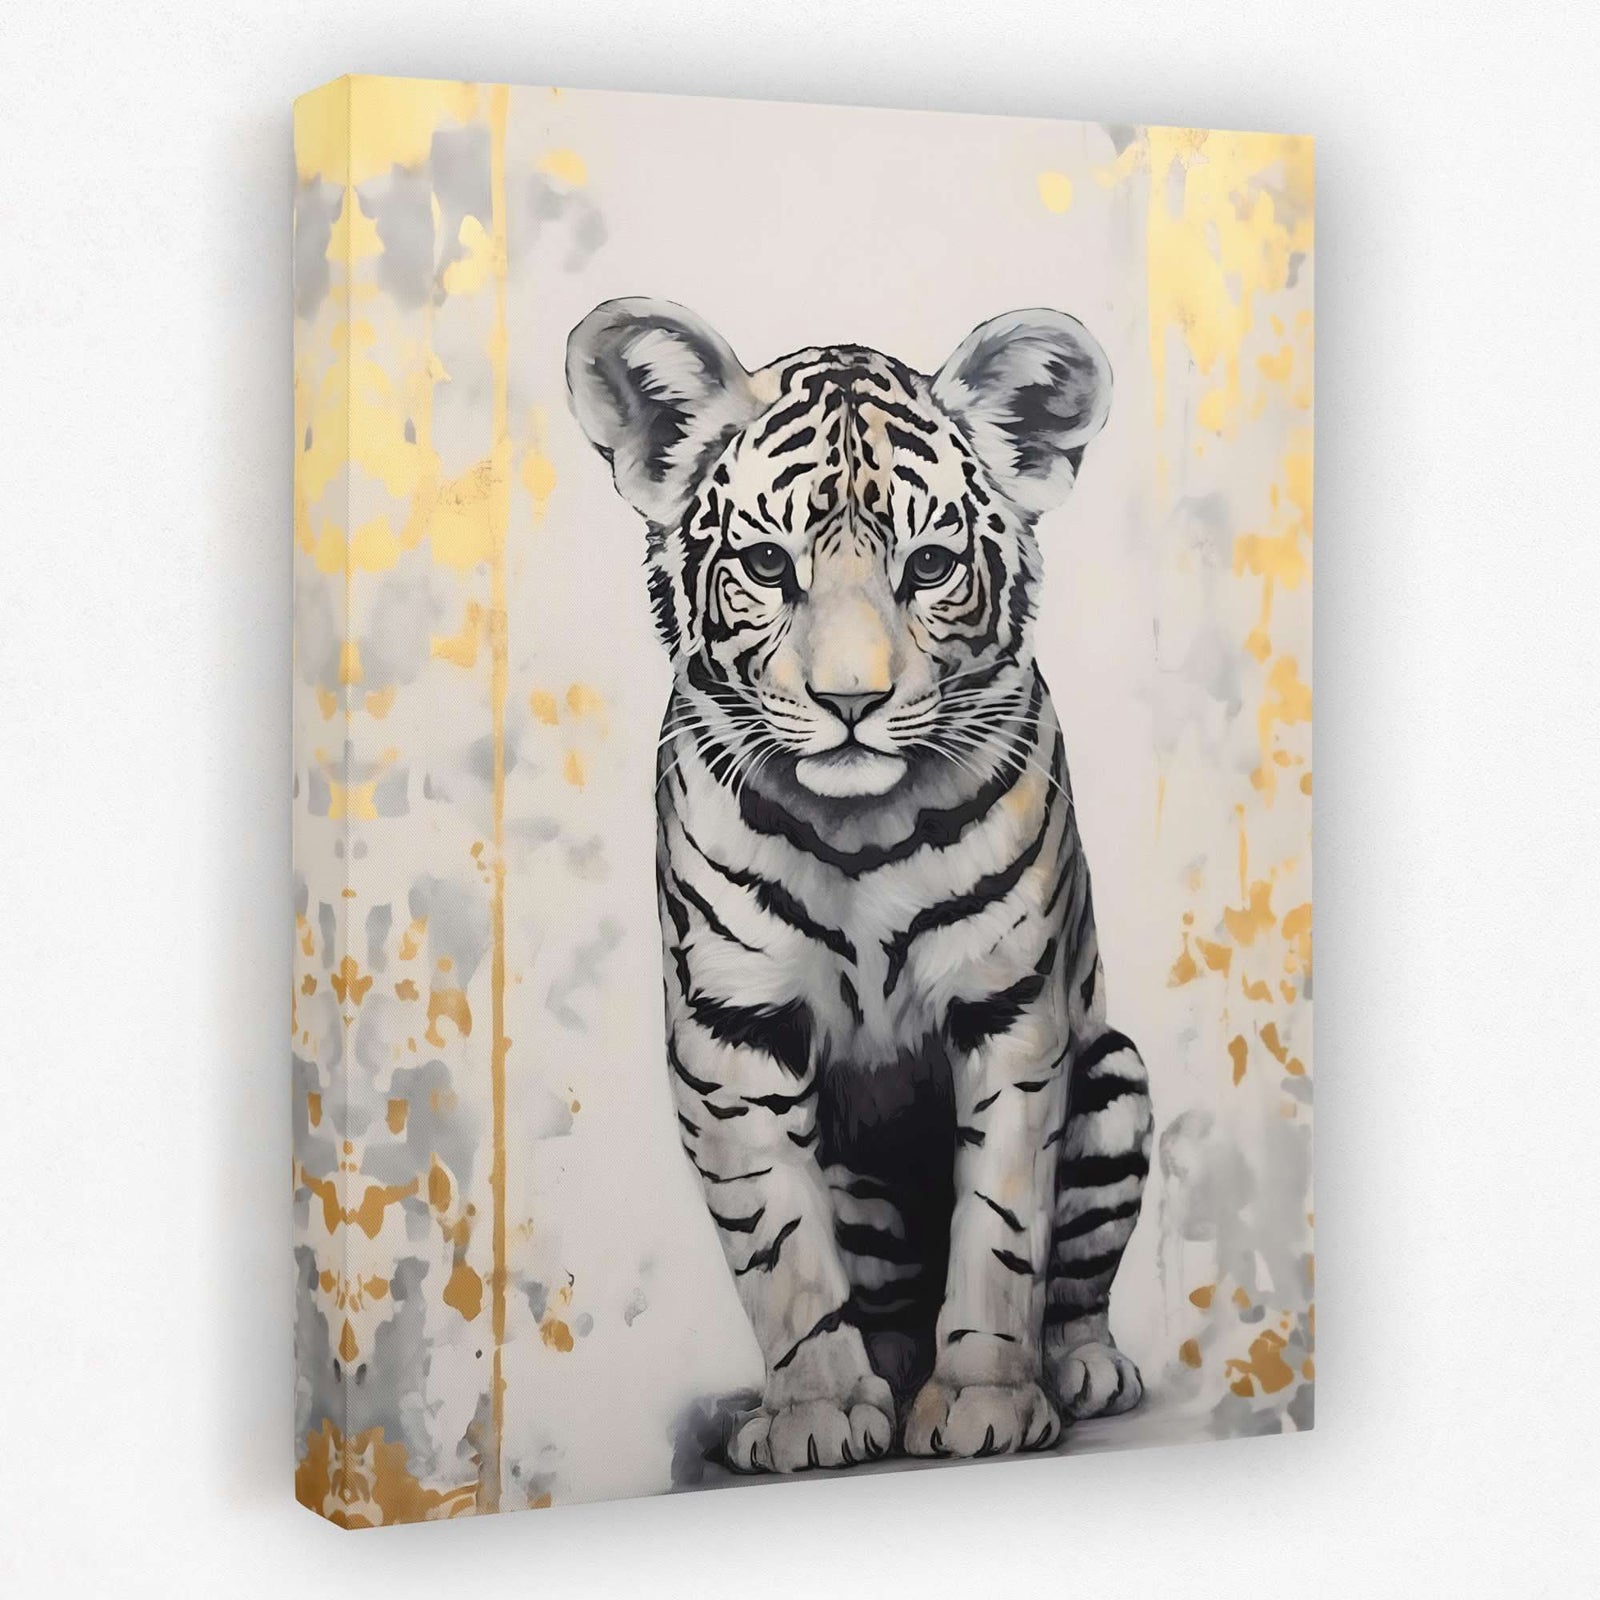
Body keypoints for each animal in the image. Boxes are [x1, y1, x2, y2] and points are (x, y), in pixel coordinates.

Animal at [566, 298, 1153, 1473]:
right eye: (764, 563)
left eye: (927, 568)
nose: (849, 702)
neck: (858, 831)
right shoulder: (731, 1032)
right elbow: (779, 1244)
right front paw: (818, 1412)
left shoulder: (1013, 1014)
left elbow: (1002, 1228)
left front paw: (984, 1398)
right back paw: (881, 1377)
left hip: (1116, 1076)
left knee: (1074, 1280)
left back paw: (1079, 1367)